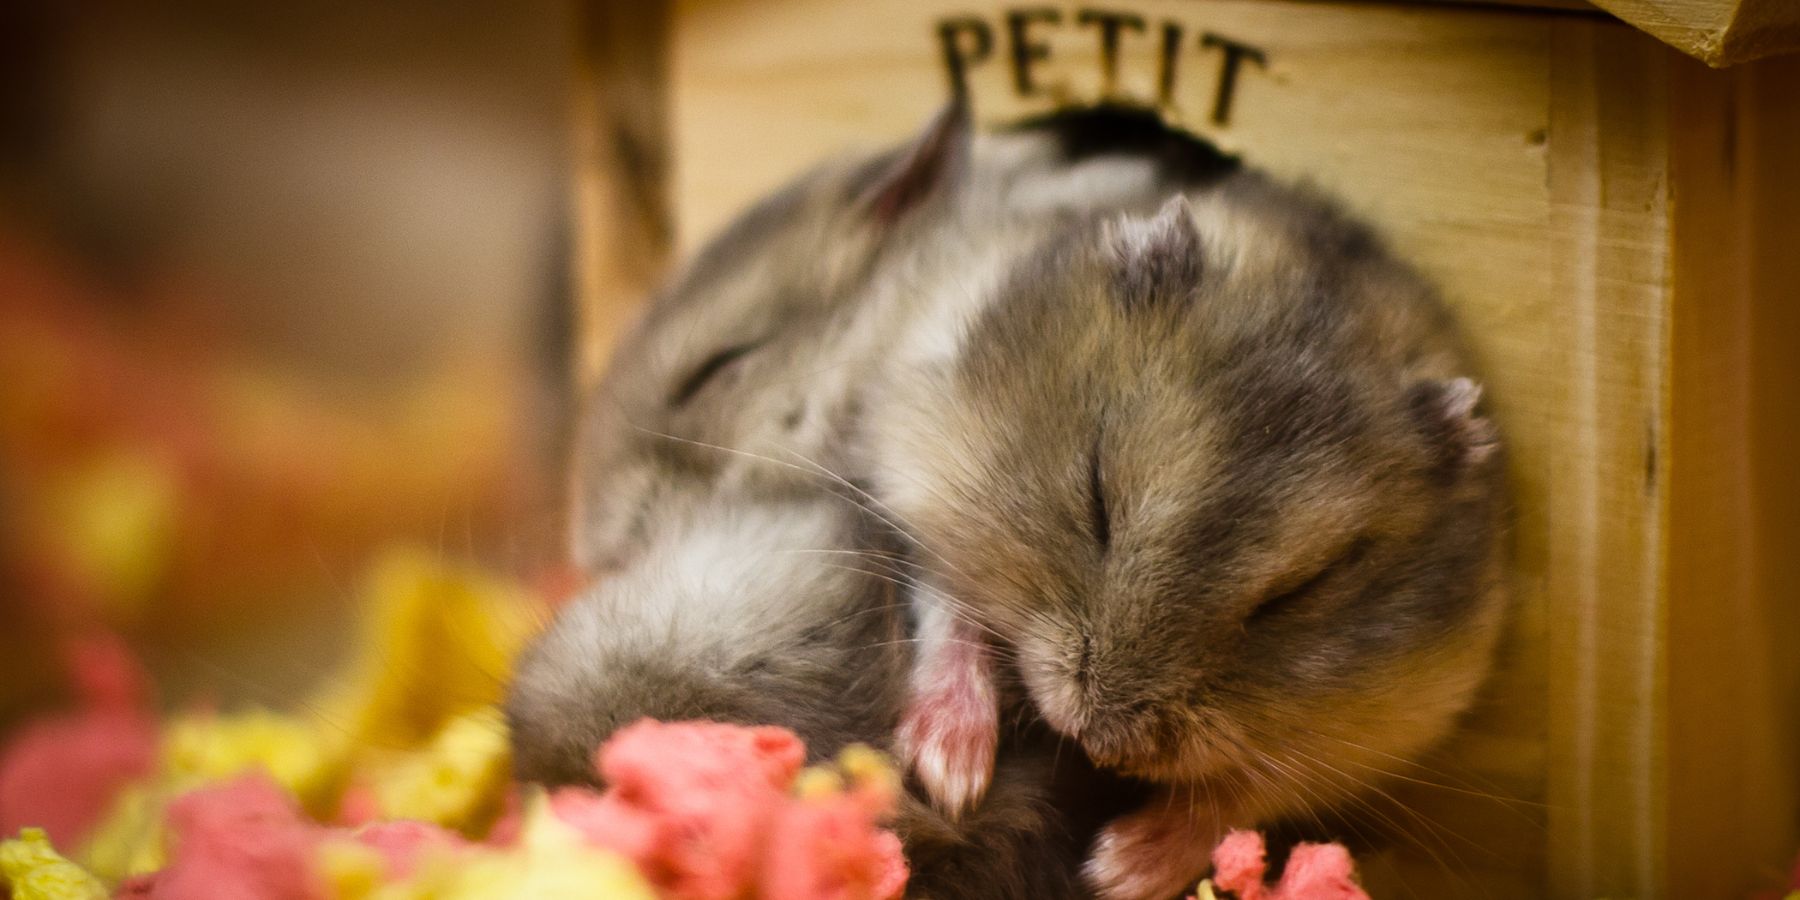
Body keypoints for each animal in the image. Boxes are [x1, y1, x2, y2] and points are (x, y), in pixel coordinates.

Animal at [862, 173, 1508, 896]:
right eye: (1098, 494)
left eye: (1300, 592)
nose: (1104, 748)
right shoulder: (918, 459)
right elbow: (951, 607)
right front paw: (949, 780)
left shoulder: (1396, 722)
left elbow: (1245, 793)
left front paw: (1114, 870)